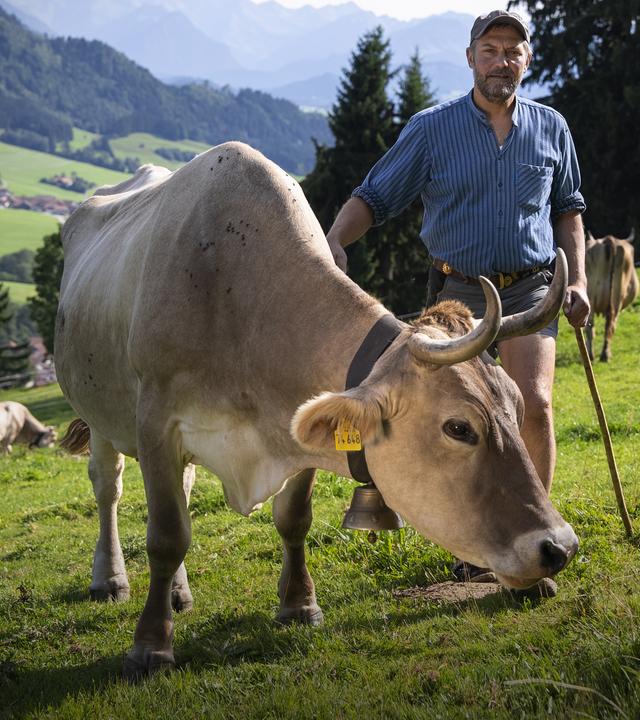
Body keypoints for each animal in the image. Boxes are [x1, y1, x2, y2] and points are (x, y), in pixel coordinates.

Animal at [55, 142, 578, 679]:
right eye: (458, 427)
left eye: (517, 407)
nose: (559, 546)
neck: (240, 303)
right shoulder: (157, 423)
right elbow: (166, 535)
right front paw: (150, 647)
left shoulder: (297, 427)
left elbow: (294, 519)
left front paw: (299, 605)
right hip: (100, 417)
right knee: (108, 488)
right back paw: (110, 580)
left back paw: (178, 594)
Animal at [585, 229, 638, 362]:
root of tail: (609, 240)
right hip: (615, 298)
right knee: (609, 325)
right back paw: (603, 354)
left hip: (592, 298)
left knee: (593, 326)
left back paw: (594, 354)